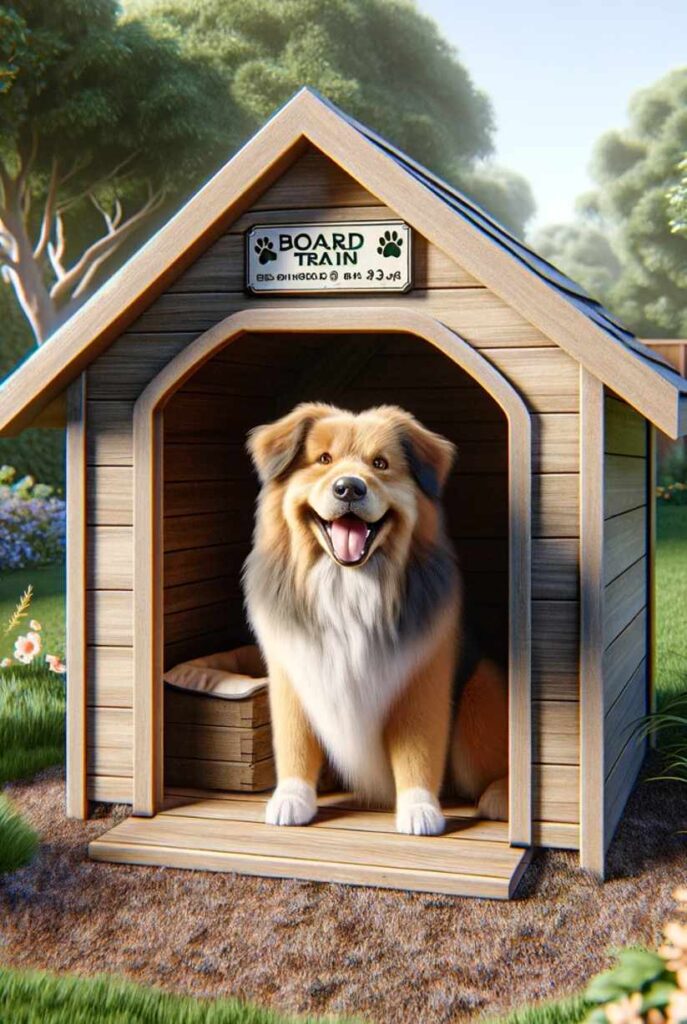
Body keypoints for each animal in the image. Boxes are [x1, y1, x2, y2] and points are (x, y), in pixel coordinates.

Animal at [243, 399, 509, 831]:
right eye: (323, 459)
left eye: (380, 463)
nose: (349, 487)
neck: (347, 584)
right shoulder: (293, 676)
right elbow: (295, 743)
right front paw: (291, 799)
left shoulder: (421, 680)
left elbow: (417, 750)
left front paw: (419, 810)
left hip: (479, 696)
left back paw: (499, 796)